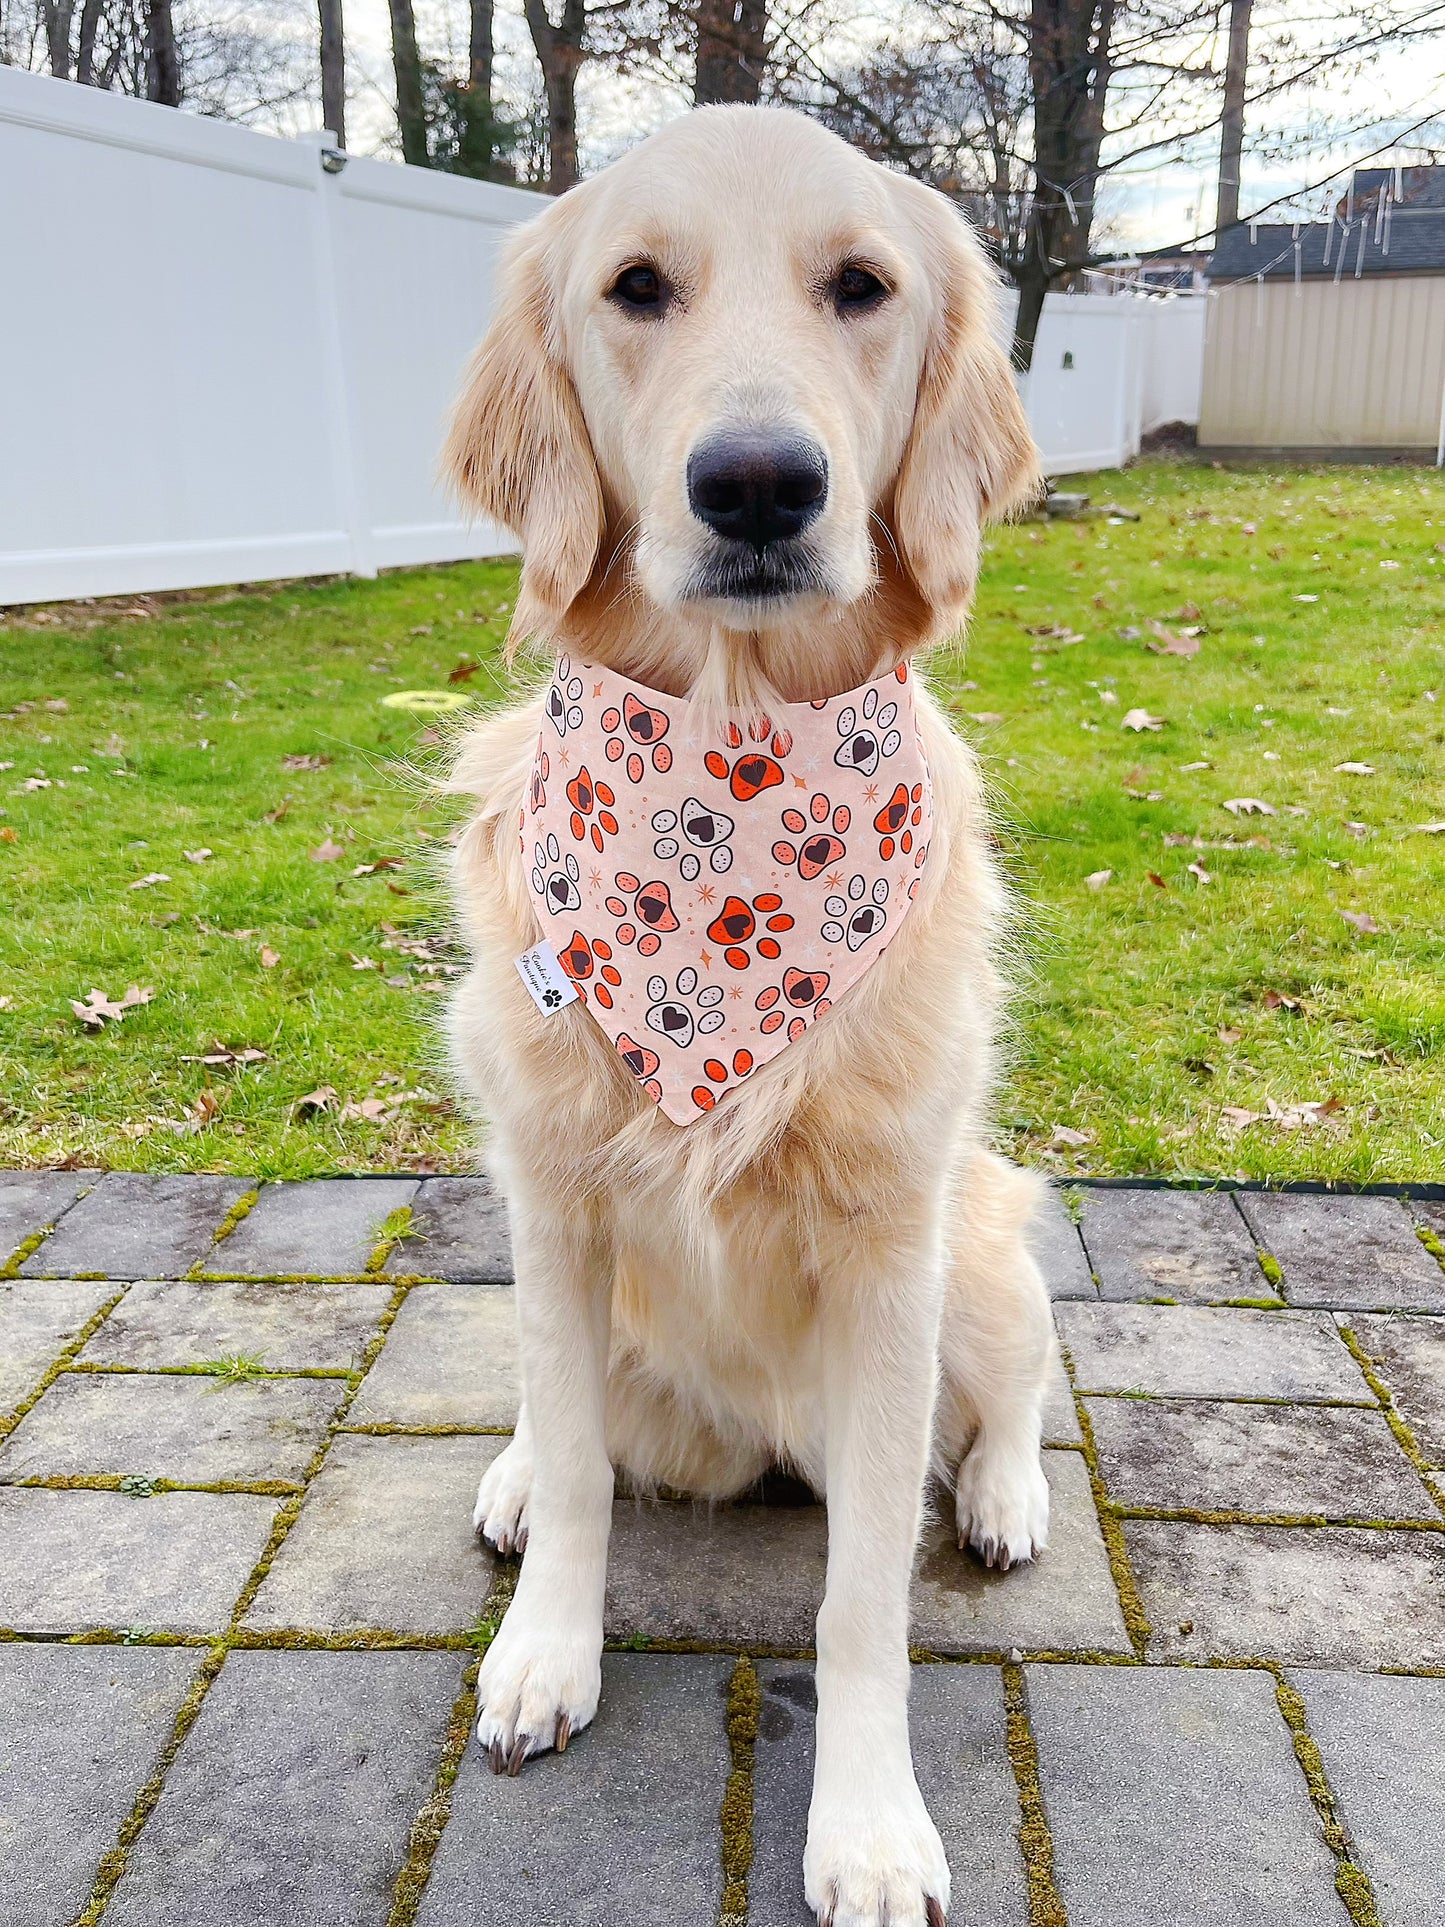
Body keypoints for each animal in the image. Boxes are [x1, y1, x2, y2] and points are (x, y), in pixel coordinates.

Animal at [441, 105, 1055, 1927]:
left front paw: (866, 1825)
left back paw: (1005, 1493)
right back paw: (513, 1475)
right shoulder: (553, 1200)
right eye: (637, 287)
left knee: (1027, 1376)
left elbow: (862, 1598)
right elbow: (581, 1464)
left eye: (861, 285)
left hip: (976, 1250)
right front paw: (545, 1653)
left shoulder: (890, 1251)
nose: (764, 483)